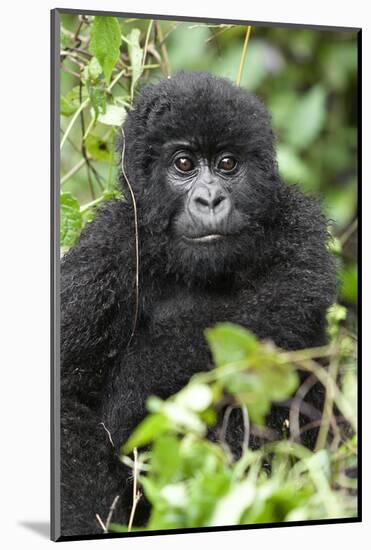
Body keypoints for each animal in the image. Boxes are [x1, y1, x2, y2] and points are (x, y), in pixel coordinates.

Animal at [59, 72, 338, 540]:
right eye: (185, 164)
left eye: (227, 164)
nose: (210, 200)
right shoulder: (101, 256)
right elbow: (68, 398)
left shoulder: (298, 233)